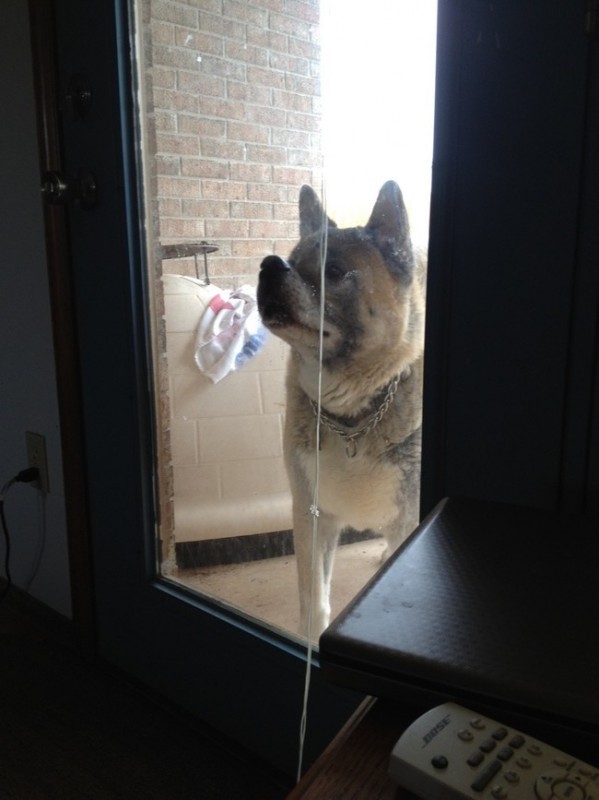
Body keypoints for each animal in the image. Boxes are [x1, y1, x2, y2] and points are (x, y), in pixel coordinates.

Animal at [255, 181, 424, 636]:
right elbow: (314, 601)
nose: (268, 266)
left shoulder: (407, 519)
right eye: (291, 259)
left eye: (333, 271)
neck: (353, 417)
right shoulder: (312, 517)